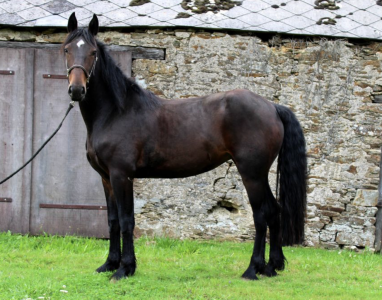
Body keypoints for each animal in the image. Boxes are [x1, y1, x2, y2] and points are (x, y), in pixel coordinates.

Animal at [63, 12, 308, 282]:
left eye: (93, 52)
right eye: (66, 49)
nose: (77, 90)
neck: (117, 112)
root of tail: (272, 107)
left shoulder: (121, 175)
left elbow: (127, 220)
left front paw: (124, 269)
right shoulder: (106, 178)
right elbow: (113, 220)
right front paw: (109, 264)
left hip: (252, 174)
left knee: (261, 215)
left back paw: (252, 269)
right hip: (260, 175)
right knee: (274, 212)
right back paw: (272, 266)